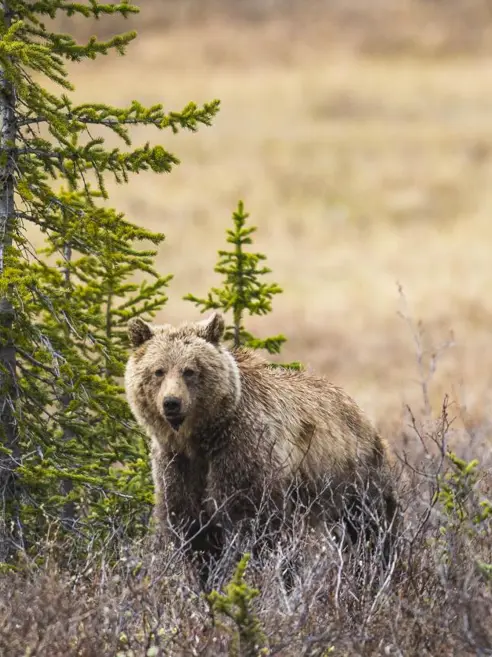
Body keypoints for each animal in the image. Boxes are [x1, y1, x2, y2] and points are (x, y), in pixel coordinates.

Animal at [124, 312, 399, 588]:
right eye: (158, 371)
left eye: (189, 370)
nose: (171, 403)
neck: (200, 439)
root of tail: (356, 407)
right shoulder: (177, 463)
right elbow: (193, 529)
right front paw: (206, 579)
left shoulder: (242, 451)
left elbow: (252, 525)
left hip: (353, 473)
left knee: (371, 526)